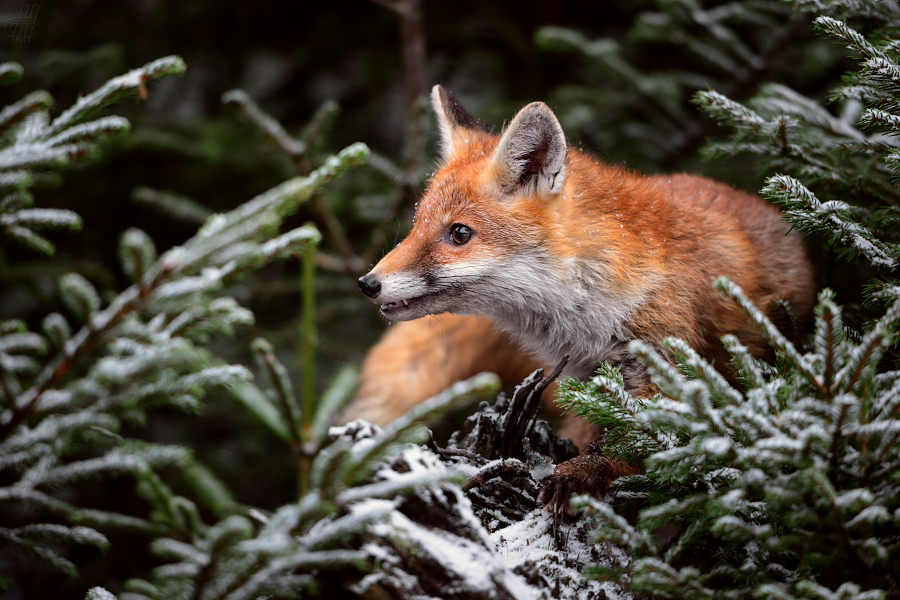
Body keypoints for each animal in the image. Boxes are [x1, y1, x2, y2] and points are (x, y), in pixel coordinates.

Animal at [350, 85, 816, 516]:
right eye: (416, 225)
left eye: (459, 233)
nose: (367, 284)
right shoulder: (591, 383)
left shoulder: (672, 369)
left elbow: (637, 441)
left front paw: (581, 474)